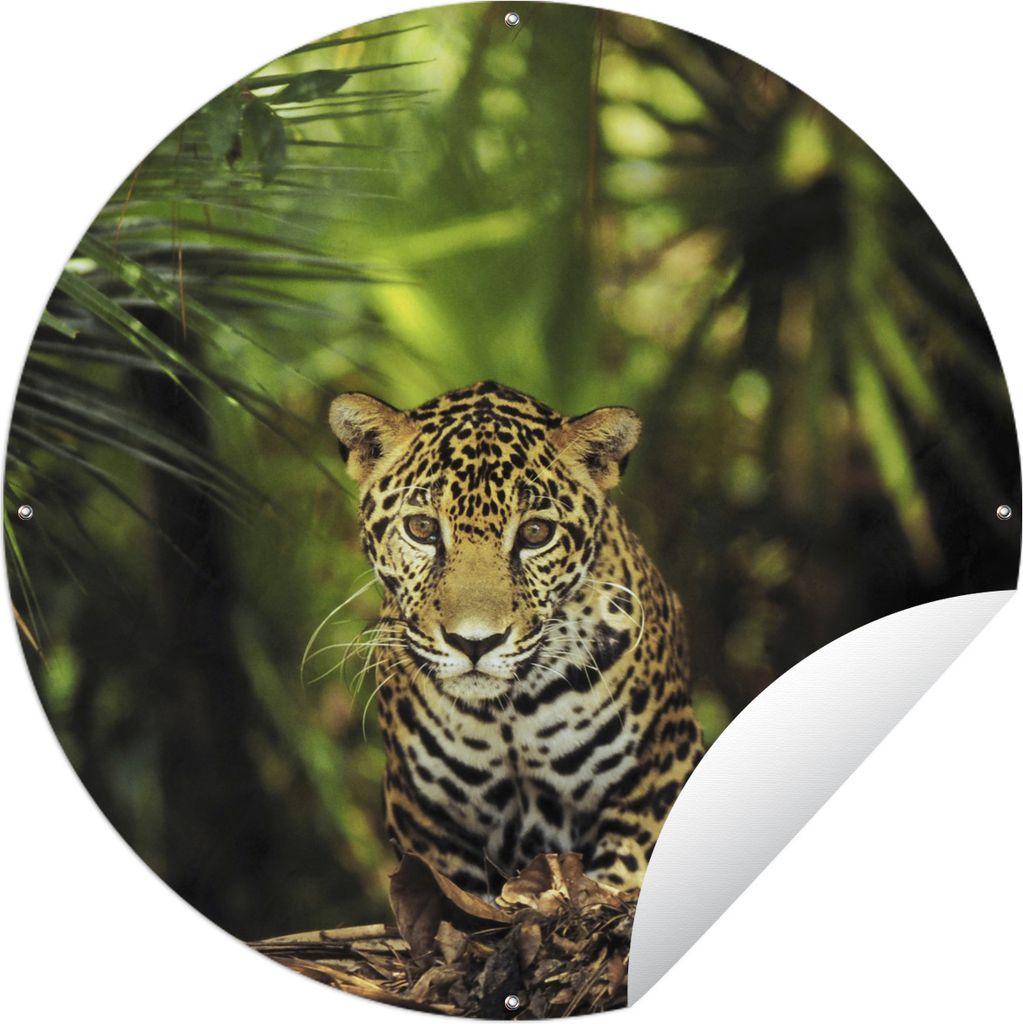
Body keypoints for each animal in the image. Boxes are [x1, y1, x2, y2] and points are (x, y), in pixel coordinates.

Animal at [328, 380, 702, 896]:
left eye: (536, 532)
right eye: (422, 528)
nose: (474, 643)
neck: (510, 714)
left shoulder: (661, 777)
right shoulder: (426, 821)